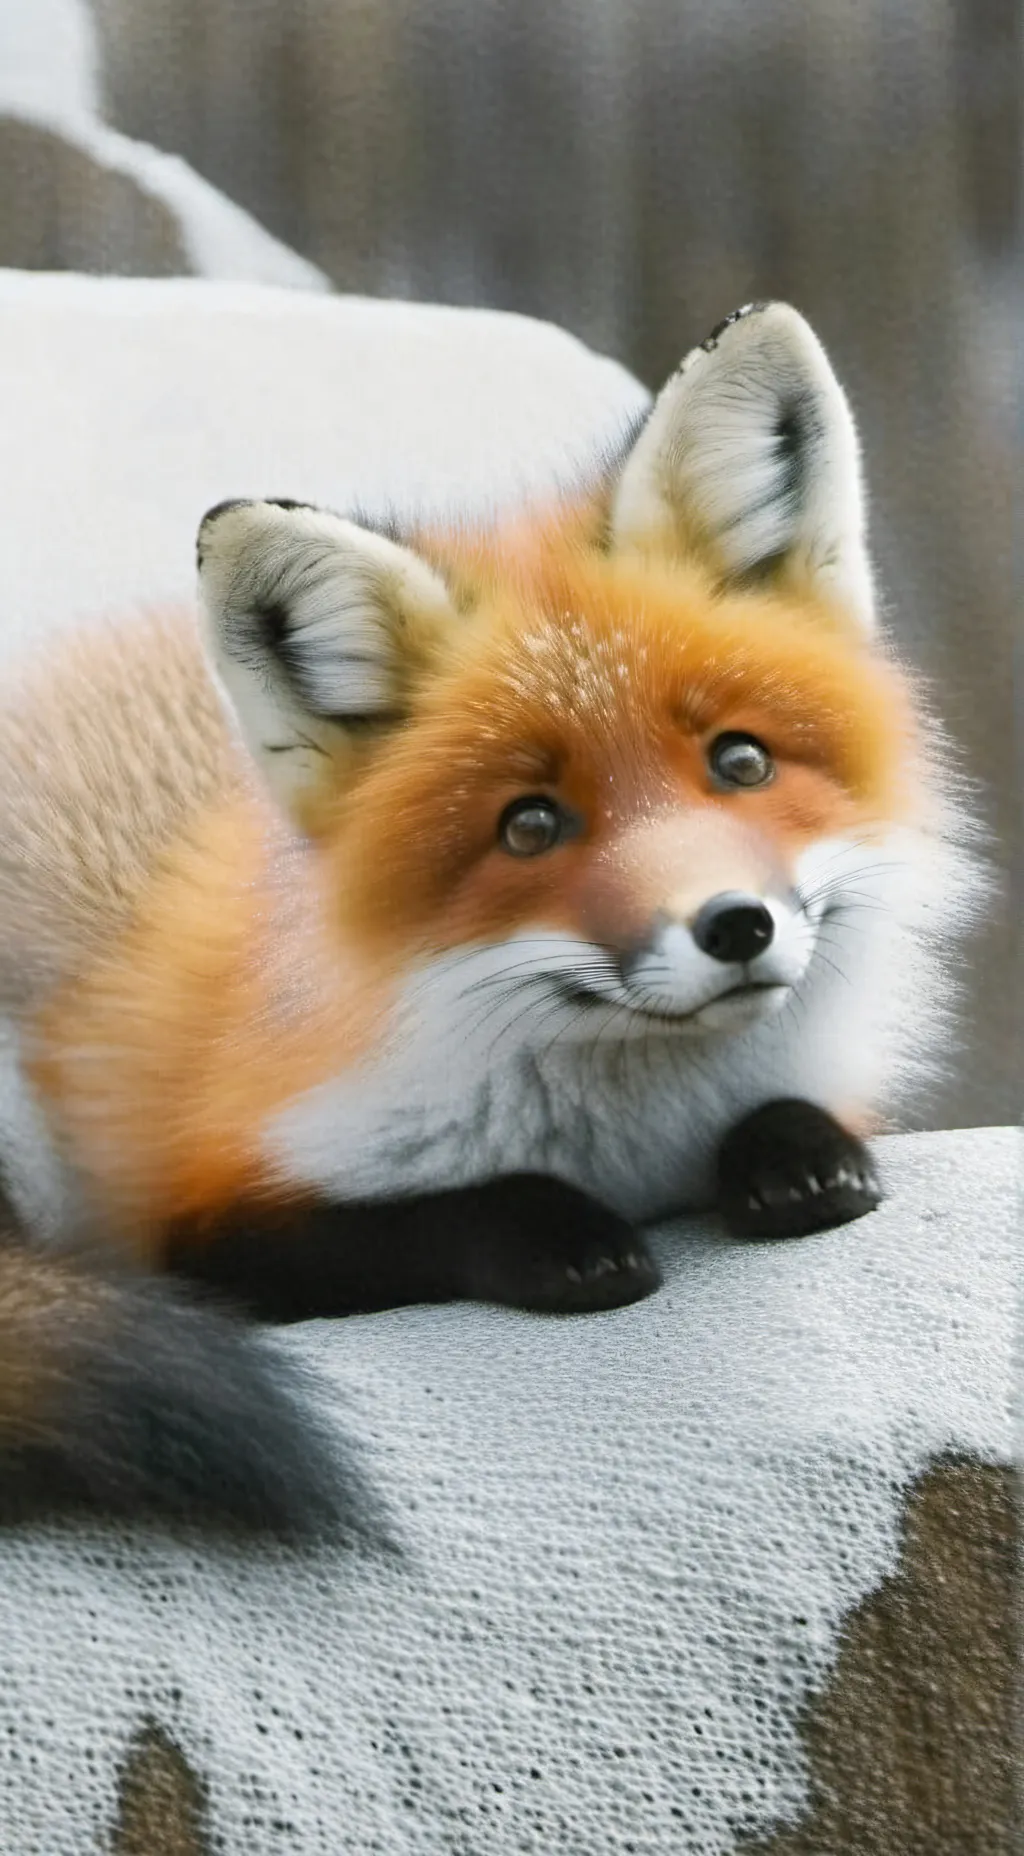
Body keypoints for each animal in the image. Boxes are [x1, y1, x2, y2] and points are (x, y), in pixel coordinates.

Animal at [0, 302, 977, 1534]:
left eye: (740, 761)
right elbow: (436, 1215)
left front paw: (796, 1155)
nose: (735, 927)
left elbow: (799, 1123)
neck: (636, 1148)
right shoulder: (206, 1226)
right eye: (530, 825)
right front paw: (560, 1236)